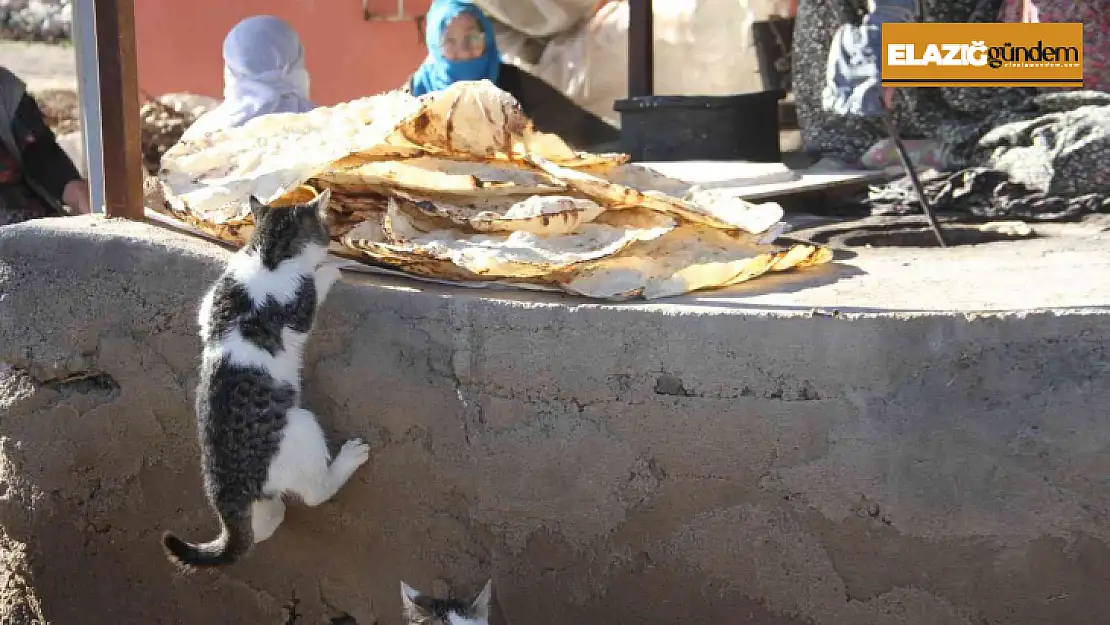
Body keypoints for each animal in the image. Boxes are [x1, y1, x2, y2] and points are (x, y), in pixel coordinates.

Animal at [160, 189, 370, 568]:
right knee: (316, 493)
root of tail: (227, 489)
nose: (333, 241)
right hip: (301, 429)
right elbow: (314, 283)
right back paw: (349, 457)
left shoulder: (209, 306)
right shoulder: (300, 305)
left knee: (260, 528)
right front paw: (331, 267)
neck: (268, 255)